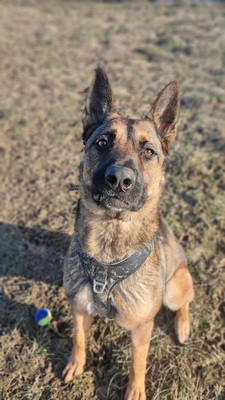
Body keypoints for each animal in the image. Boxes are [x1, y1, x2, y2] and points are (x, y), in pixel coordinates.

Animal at [62, 69, 194, 400]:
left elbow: (137, 364)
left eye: (148, 152)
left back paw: (183, 325)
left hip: (174, 288)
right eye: (102, 142)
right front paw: (75, 364)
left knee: (186, 300)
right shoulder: (79, 308)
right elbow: (79, 339)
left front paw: (135, 392)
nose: (119, 179)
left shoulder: (142, 328)